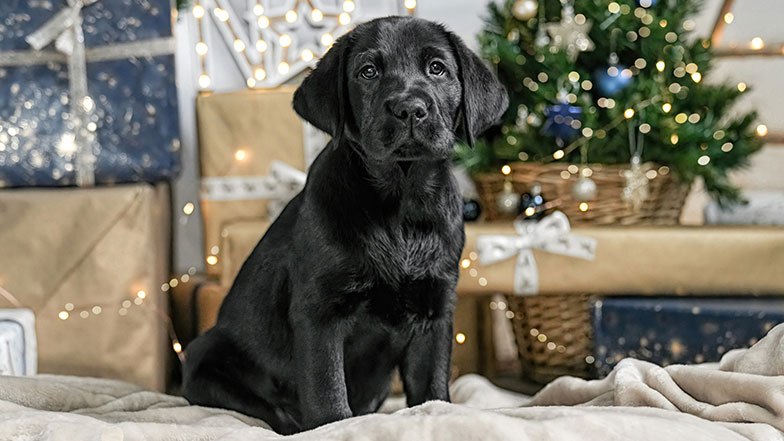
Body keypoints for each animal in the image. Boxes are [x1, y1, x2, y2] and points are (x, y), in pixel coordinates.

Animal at [181, 16, 506, 434]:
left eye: (437, 68)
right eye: (368, 72)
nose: (410, 109)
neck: (401, 202)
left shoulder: (434, 309)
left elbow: (431, 387)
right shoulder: (320, 311)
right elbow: (327, 390)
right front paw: (335, 424)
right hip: (205, 352)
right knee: (268, 408)